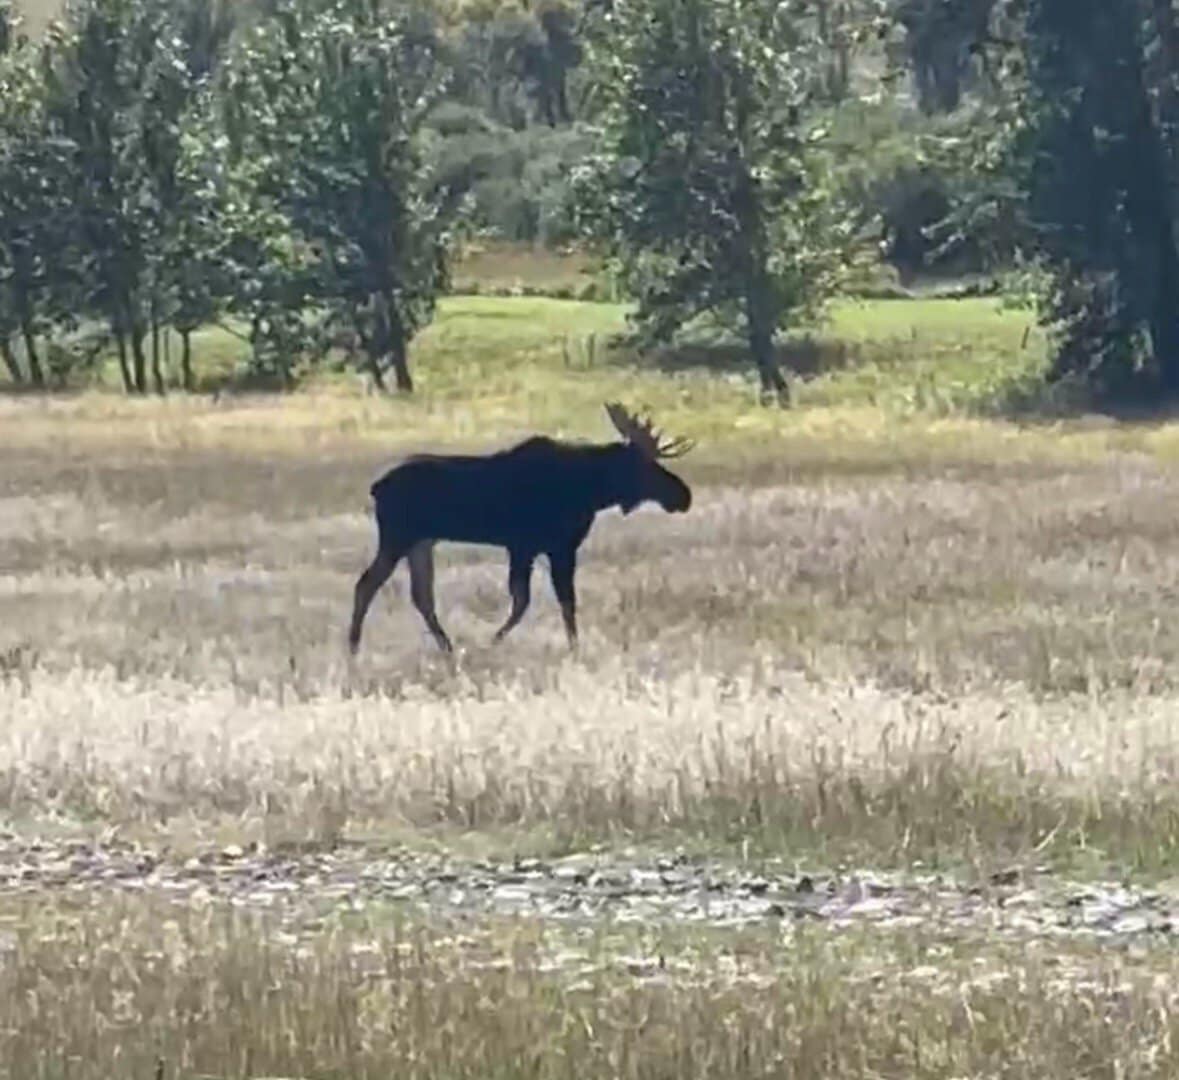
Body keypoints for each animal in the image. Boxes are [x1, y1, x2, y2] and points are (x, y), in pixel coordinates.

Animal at [347, 402, 694, 654]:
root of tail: (375, 488)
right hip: (397, 537)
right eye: (646, 464)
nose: (684, 495)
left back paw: (447, 647)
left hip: (422, 541)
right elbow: (545, 601)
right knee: (367, 584)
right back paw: (353, 647)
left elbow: (538, 600)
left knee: (421, 594)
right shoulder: (545, 545)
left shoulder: (532, 547)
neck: (592, 490)